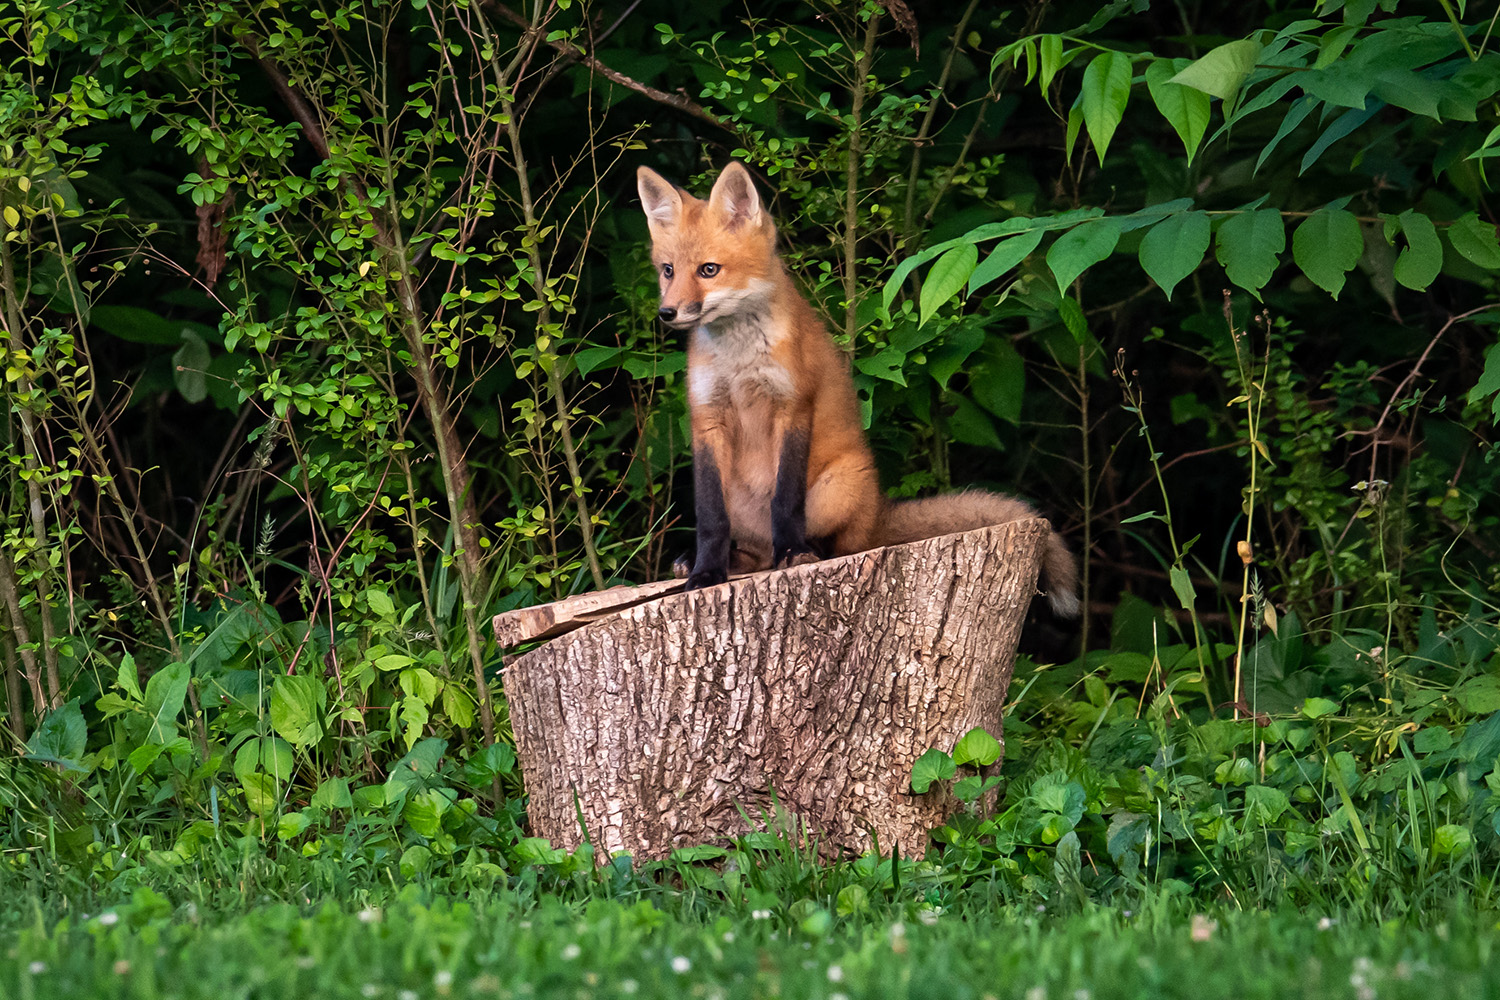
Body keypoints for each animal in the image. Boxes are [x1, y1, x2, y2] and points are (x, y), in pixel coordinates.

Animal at [636, 161, 1079, 617]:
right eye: (668, 270)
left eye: (709, 270)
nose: (667, 313)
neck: (739, 360)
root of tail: (877, 512)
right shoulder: (707, 417)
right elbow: (710, 517)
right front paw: (706, 572)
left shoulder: (793, 407)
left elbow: (785, 500)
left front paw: (792, 552)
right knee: (755, 553)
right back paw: (728, 559)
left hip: (838, 487)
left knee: (839, 544)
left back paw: (806, 550)